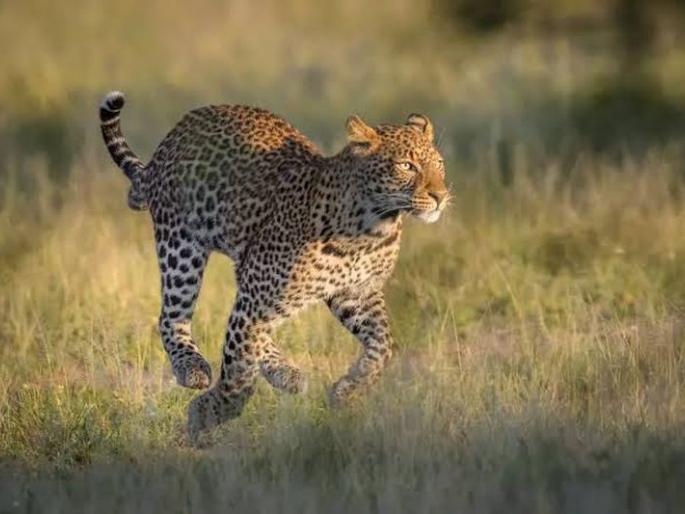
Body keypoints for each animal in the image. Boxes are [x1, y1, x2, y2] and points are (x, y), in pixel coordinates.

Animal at [99, 91, 450, 442]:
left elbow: (384, 345)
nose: (441, 196)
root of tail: (173, 135)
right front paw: (209, 414)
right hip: (182, 248)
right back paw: (193, 367)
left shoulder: (358, 294)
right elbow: (238, 372)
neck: (372, 230)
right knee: (173, 318)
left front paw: (348, 391)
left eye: (440, 165)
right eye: (406, 166)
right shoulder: (257, 296)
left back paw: (283, 371)